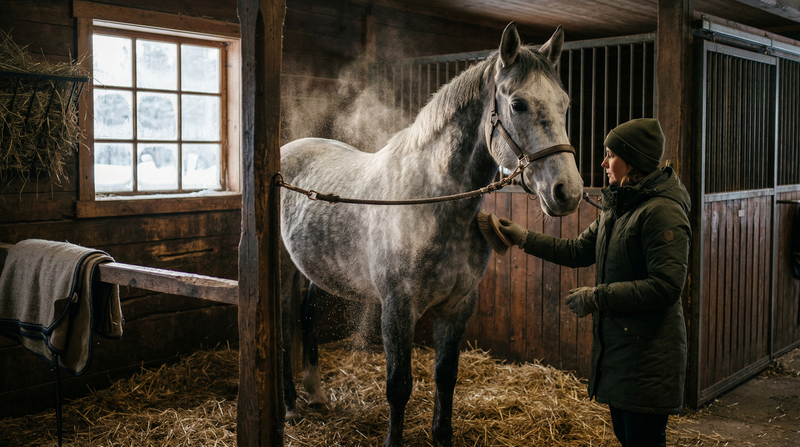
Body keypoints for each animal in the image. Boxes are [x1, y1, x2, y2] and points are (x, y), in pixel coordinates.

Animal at [279, 22, 583, 447]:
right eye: (519, 104)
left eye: (564, 103)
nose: (567, 192)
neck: (431, 202)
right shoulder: (398, 308)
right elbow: (399, 385)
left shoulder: (458, 307)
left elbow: (445, 377)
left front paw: (442, 436)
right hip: (281, 272)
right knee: (282, 330)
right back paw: (290, 404)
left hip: (313, 271)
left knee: (307, 319)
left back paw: (316, 395)